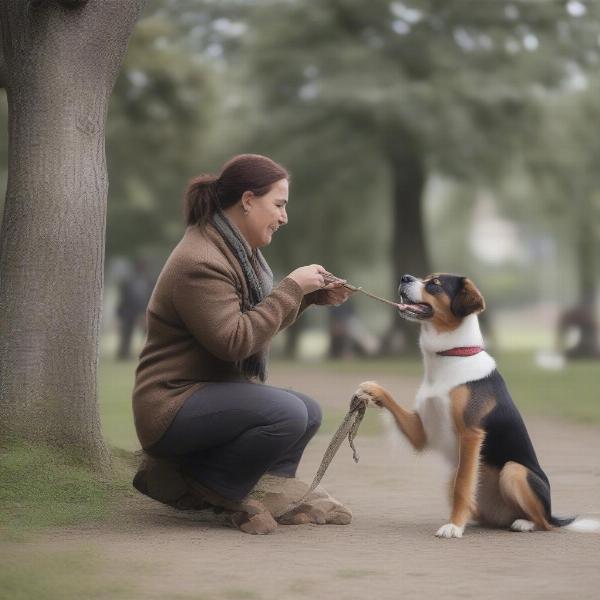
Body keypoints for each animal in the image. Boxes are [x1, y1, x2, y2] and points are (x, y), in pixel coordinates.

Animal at [354, 272, 596, 540]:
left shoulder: (470, 434)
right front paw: (370, 389)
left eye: (434, 284)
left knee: (544, 522)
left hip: (514, 471)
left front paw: (453, 526)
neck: (452, 356)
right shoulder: (421, 432)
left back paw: (523, 523)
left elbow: (462, 485)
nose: (405, 277)